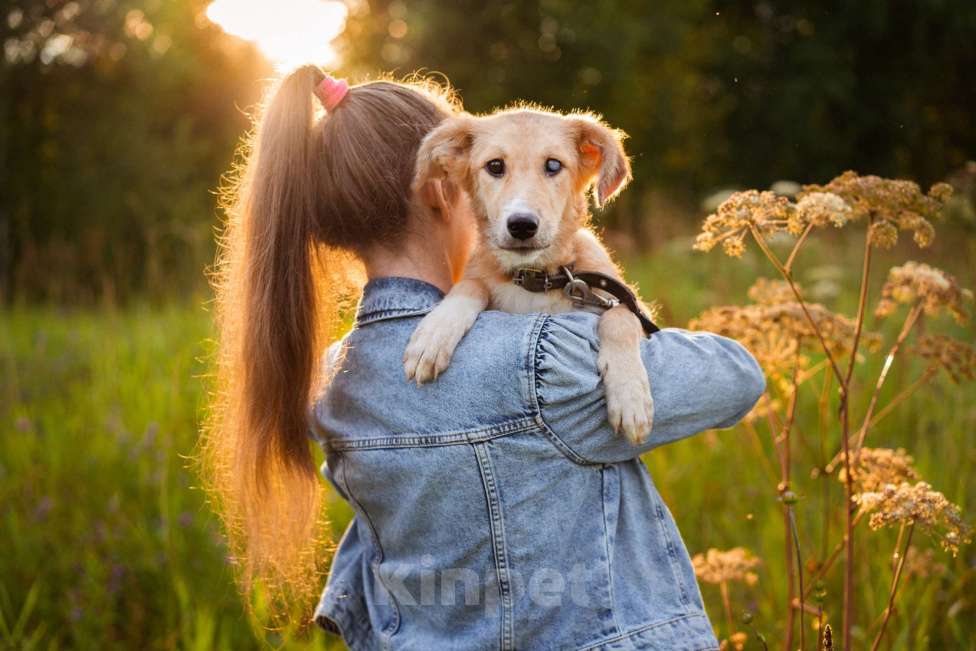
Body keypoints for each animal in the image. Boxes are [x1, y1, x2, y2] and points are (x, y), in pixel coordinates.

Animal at [404, 108, 656, 444]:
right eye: (495, 166)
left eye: (553, 165)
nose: (522, 225)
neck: (537, 281)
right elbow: (471, 284)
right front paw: (433, 336)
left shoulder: (630, 308)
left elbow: (620, 316)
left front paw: (630, 395)